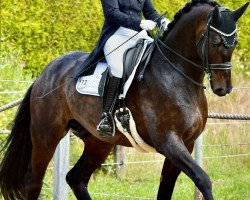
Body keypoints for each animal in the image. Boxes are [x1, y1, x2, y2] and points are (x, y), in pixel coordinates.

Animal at [0, 0, 248, 199]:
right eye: (215, 42)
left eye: (234, 42)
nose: (223, 88)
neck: (175, 74)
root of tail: (46, 72)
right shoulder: (169, 142)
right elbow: (203, 179)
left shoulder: (184, 144)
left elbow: (166, 190)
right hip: (46, 136)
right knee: (34, 183)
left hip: (99, 142)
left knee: (76, 178)